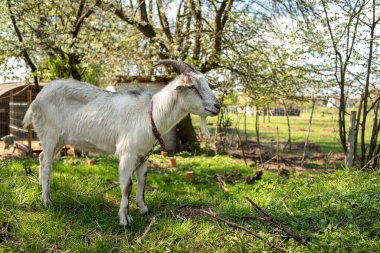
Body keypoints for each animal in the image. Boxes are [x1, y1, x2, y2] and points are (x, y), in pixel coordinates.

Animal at [23, 59, 220, 225]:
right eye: (192, 86)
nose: (217, 107)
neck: (149, 114)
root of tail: (36, 100)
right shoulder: (127, 152)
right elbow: (127, 185)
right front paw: (125, 218)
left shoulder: (143, 154)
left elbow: (142, 179)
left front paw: (143, 208)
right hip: (50, 135)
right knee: (47, 164)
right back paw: (47, 200)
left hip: (59, 139)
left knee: (41, 158)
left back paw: (41, 188)